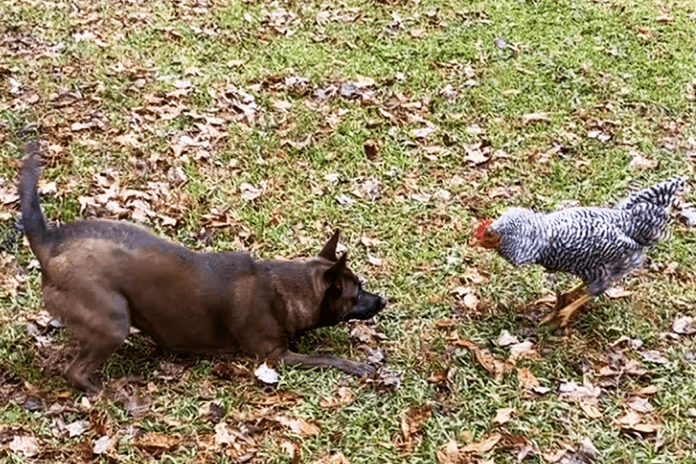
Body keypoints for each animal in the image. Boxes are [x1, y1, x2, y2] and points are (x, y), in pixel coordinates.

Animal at [19, 141, 386, 392]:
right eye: (357, 291)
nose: (383, 299)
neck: (284, 288)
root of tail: (49, 245)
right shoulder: (273, 355)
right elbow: (326, 358)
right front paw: (356, 366)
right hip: (113, 321)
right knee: (75, 372)